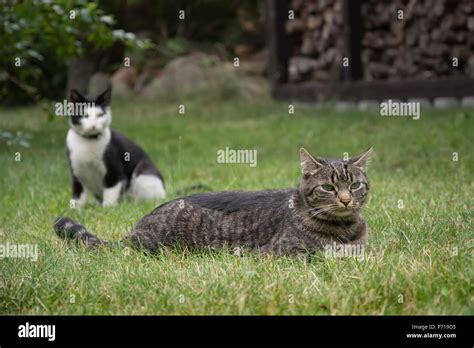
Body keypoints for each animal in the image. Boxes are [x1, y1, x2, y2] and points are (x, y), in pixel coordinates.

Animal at [53, 147, 372, 256]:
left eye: (354, 185)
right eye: (329, 187)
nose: (346, 200)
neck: (345, 227)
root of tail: (133, 230)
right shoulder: (282, 252)